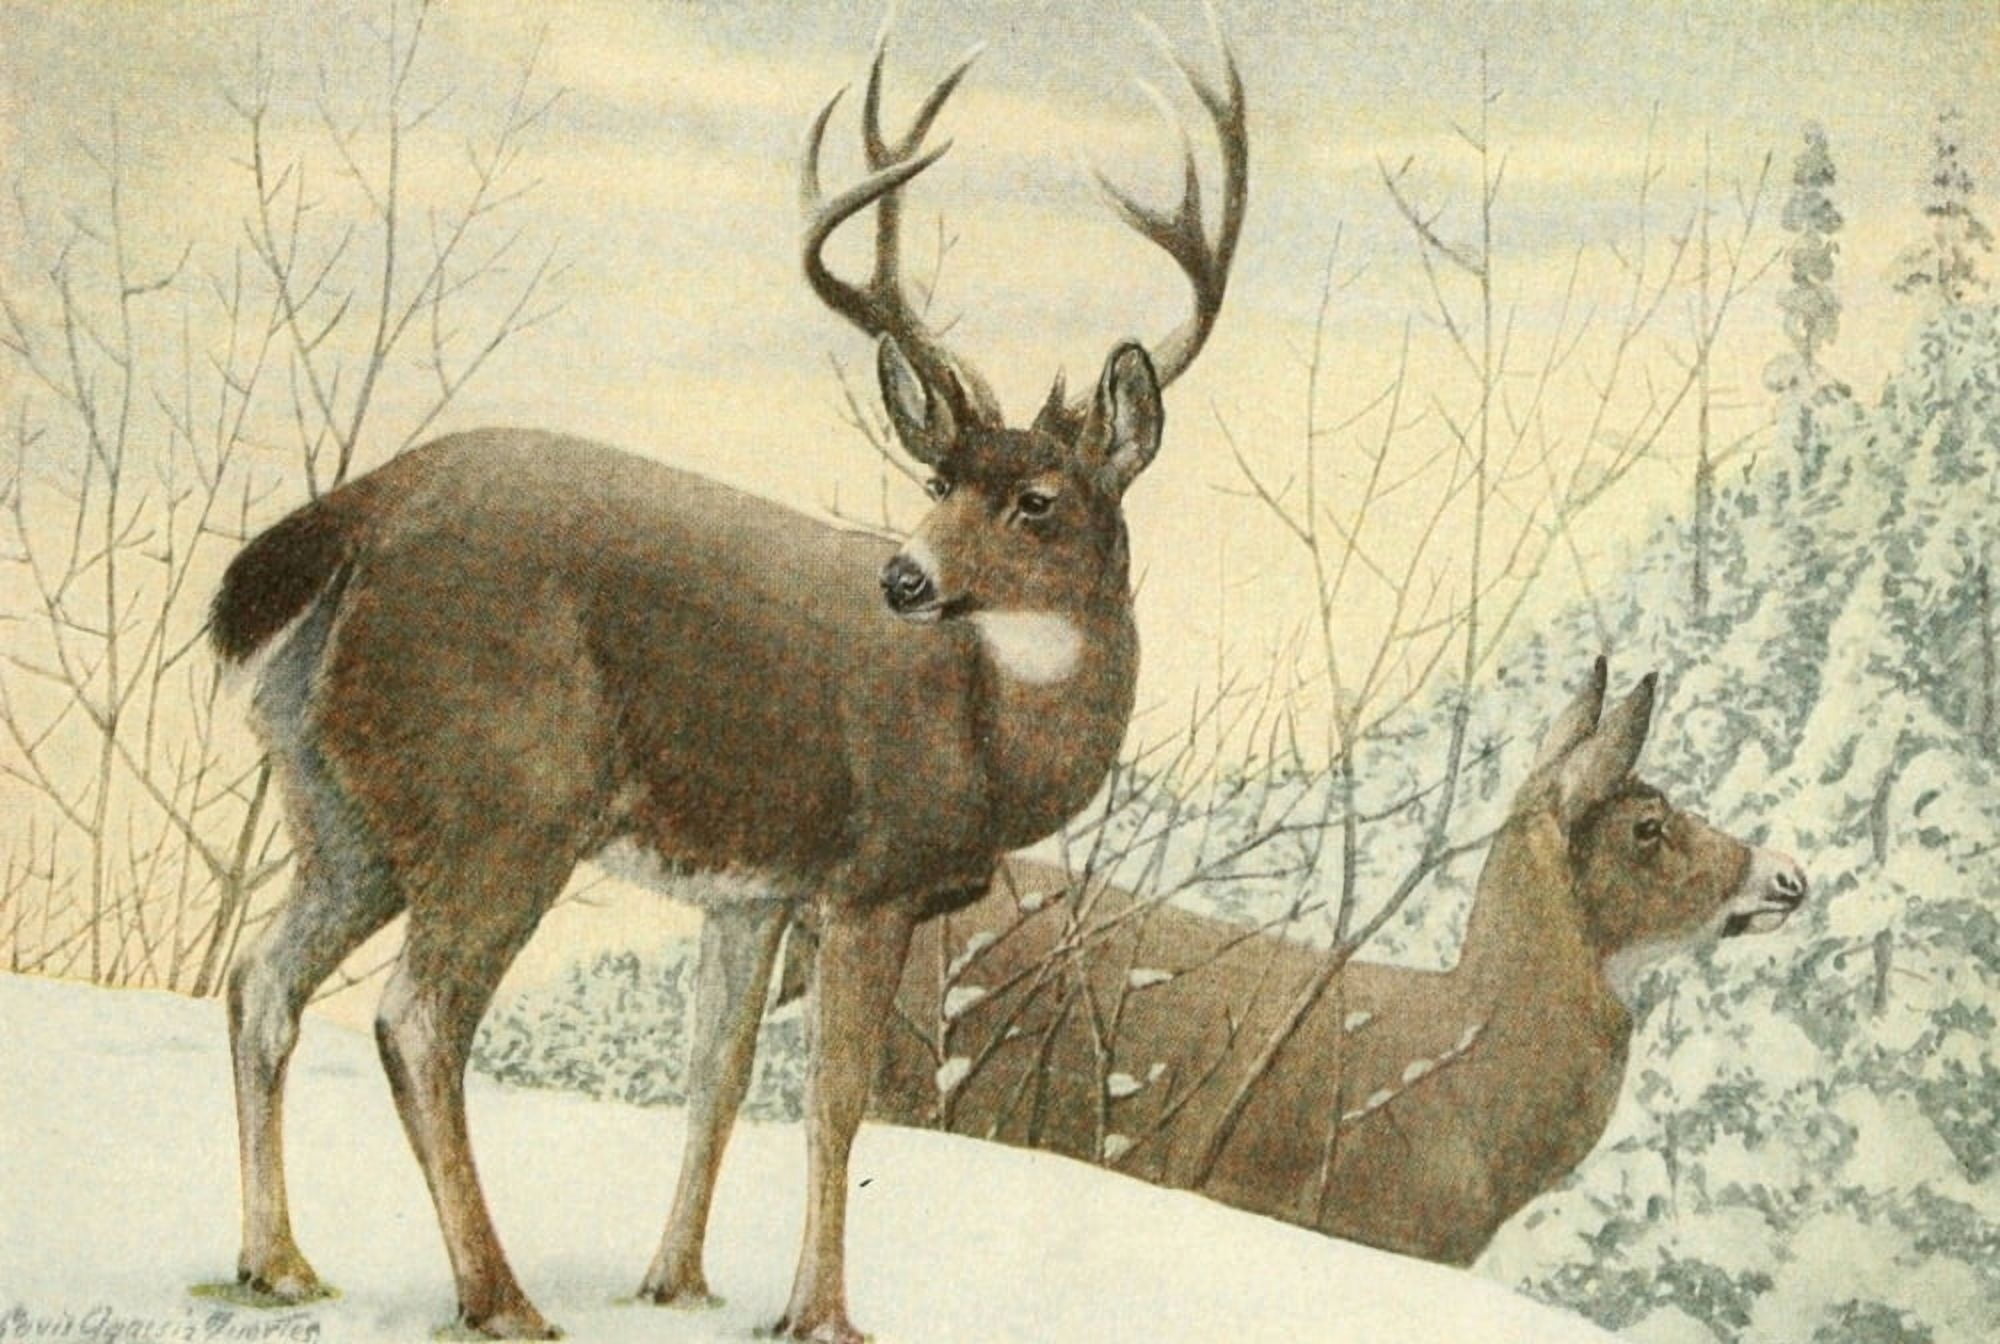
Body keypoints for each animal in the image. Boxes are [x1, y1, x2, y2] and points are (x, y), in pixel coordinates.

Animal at [204, 17, 1244, 1344]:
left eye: (1034, 499)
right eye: (936, 480)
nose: (904, 578)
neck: (990, 737)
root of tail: (362, 511)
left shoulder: (750, 892)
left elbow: (718, 1077)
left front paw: (677, 1281)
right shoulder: (869, 876)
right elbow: (834, 1101)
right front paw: (820, 1313)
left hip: (335, 804)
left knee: (260, 980)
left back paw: (278, 1263)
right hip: (504, 798)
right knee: (416, 1019)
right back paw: (498, 1297)